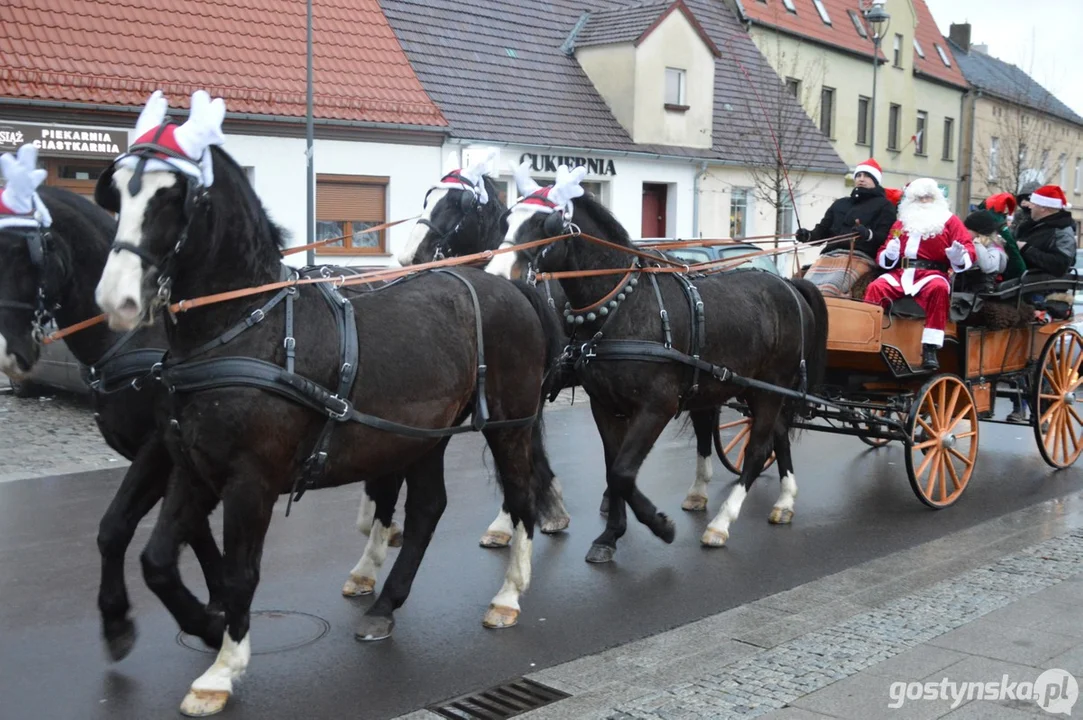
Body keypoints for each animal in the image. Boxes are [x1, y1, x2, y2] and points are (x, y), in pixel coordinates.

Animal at [0, 186, 226, 662]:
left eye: (25, 252)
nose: (9, 354)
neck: (132, 337)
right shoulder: (172, 456)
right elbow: (188, 530)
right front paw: (216, 603)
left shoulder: (158, 447)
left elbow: (116, 526)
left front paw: (124, 615)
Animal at [95, 138, 558, 714]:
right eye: (118, 194)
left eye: (173, 196)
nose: (117, 298)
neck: (246, 327)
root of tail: (508, 288)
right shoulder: (189, 464)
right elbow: (156, 559)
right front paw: (202, 624)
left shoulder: (250, 481)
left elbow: (240, 571)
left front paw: (222, 669)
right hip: (423, 437)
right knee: (428, 509)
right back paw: (385, 605)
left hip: (508, 426)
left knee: (520, 498)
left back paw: (508, 595)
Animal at [491, 184, 827, 563]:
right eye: (505, 220)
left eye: (544, 223)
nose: (498, 274)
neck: (624, 307)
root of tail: (789, 285)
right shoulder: (604, 406)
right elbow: (613, 467)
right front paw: (610, 535)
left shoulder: (657, 407)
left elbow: (622, 472)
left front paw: (660, 525)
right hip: (753, 388)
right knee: (779, 434)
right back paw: (784, 501)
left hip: (770, 387)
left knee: (757, 449)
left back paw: (721, 523)